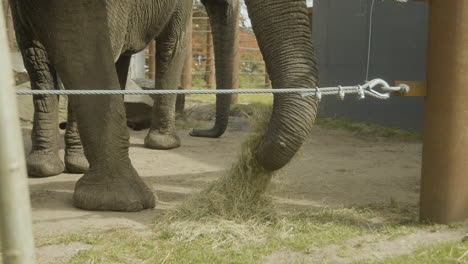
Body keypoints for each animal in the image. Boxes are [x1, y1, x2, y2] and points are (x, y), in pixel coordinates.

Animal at [12, 0, 239, 177]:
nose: (196, 132)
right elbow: (174, 45)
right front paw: (167, 145)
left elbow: (121, 60)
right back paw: (83, 164)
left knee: (38, 64)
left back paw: (44, 168)